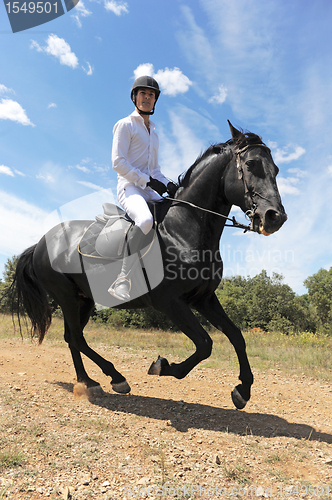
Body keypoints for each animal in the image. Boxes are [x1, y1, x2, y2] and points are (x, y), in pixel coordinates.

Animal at [9, 122, 286, 410]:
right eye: (251, 164)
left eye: (276, 169)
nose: (275, 217)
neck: (183, 229)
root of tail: (41, 244)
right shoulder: (169, 302)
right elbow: (204, 344)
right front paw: (163, 366)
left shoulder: (204, 298)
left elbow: (235, 336)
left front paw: (243, 389)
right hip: (68, 298)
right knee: (76, 337)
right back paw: (111, 378)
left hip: (83, 300)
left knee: (72, 338)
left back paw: (91, 381)